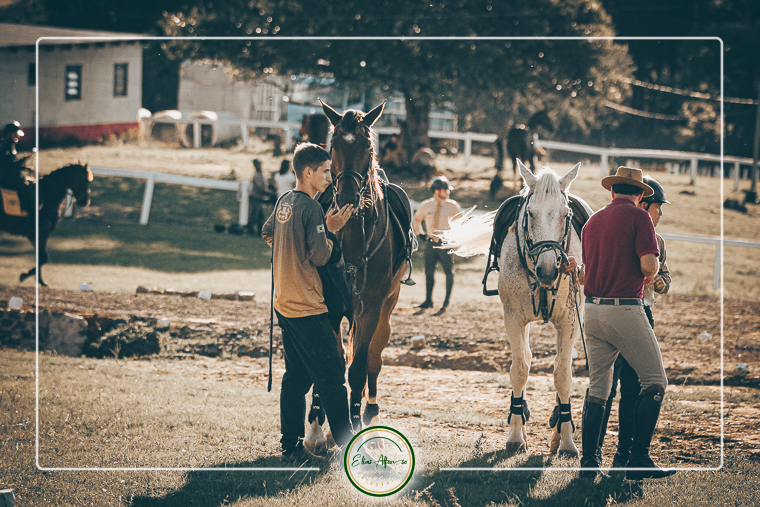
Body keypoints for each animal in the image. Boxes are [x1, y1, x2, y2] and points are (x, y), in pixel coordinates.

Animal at [303, 99, 412, 451]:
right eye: (333, 145)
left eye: (368, 146)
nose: (349, 196)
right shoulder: (330, 307)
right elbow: (331, 363)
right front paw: (316, 427)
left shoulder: (369, 309)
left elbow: (358, 368)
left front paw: (354, 426)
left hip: (386, 311)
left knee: (374, 359)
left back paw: (370, 414)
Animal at [442, 160, 592, 458]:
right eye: (530, 214)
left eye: (566, 214)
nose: (548, 270)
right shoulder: (513, 318)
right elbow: (520, 370)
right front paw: (515, 436)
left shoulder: (570, 320)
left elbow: (563, 375)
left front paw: (567, 441)